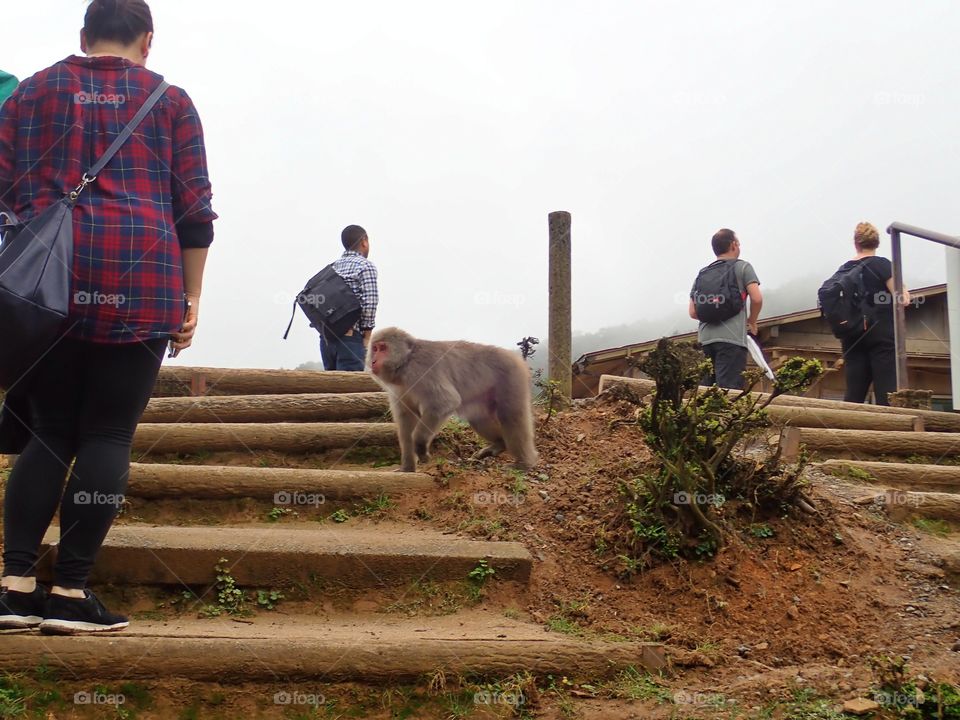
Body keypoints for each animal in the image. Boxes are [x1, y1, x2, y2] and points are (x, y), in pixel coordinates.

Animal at [366, 326, 536, 472]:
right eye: (374, 349)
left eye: (383, 348)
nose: (373, 361)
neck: (405, 364)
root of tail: (514, 356)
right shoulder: (398, 389)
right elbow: (406, 419)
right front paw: (407, 468)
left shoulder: (420, 370)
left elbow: (445, 402)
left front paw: (420, 446)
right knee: (478, 418)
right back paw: (499, 444)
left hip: (512, 376)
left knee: (511, 416)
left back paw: (524, 463)